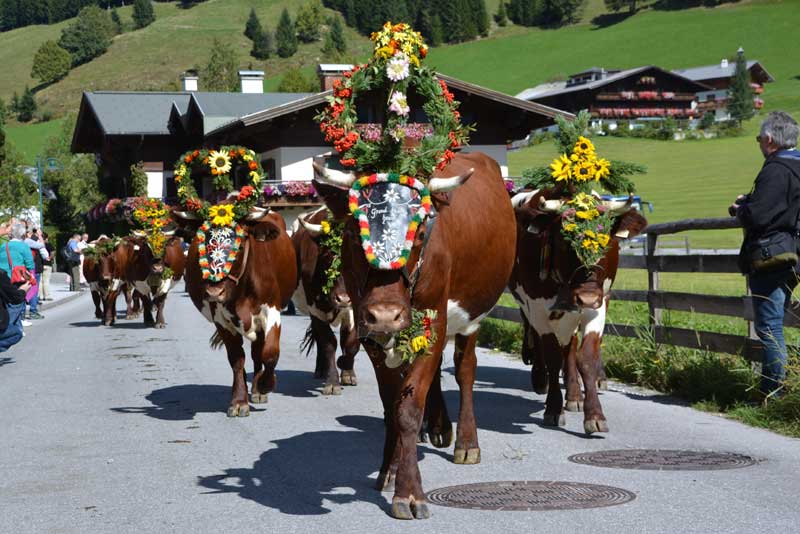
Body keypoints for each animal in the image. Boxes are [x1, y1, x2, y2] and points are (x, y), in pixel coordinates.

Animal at [176, 206, 300, 418]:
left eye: (240, 247)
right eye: (201, 244)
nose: (214, 292)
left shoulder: (272, 311)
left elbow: (270, 353)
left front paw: (265, 385)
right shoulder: (221, 320)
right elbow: (236, 359)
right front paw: (239, 401)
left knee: (258, 351)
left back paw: (258, 388)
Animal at [290, 209, 360, 398]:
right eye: (329, 256)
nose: (343, 299)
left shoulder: (353, 309)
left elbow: (350, 342)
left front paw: (347, 370)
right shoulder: (315, 310)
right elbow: (329, 343)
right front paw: (332, 382)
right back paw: (321, 370)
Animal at [312, 153, 520, 520]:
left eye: (421, 232)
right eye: (353, 230)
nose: (385, 315)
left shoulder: (435, 323)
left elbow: (408, 409)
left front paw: (409, 492)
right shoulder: (371, 335)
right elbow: (391, 406)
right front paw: (390, 471)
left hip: (471, 318)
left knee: (465, 369)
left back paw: (466, 443)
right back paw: (438, 428)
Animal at [510, 188, 648, 436]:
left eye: (607, 241)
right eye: (564, 241)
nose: (588, 297)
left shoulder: (596, 308)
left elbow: (585, 357)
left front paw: (594, 415)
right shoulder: (537, 308)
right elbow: (553, 356)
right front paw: (553, 409)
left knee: (570, 348)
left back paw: (574, 395)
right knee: (537, 338)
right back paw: (541, 379)